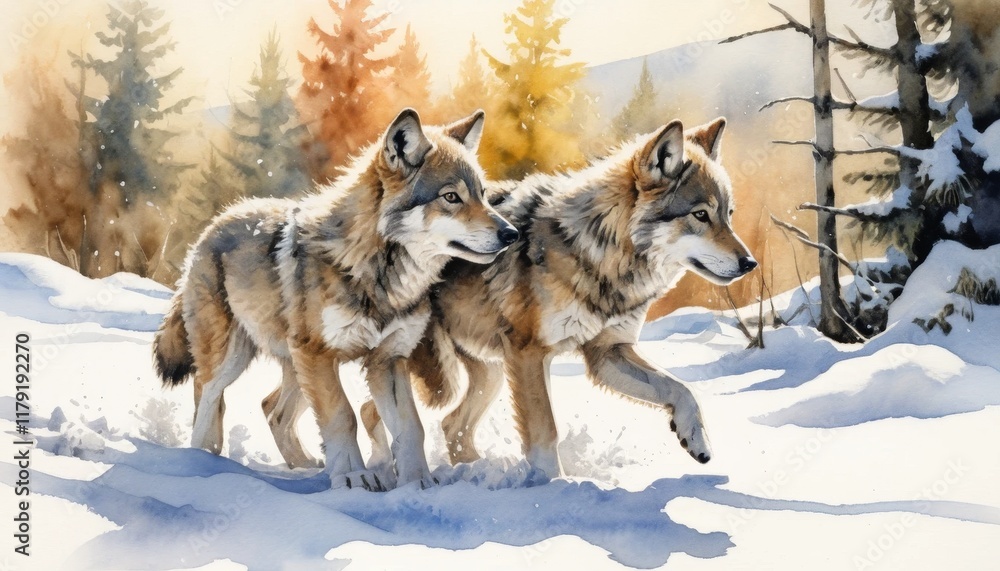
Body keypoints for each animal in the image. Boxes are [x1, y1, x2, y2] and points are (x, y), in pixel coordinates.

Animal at [152, 109, 518, 490]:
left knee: (272, 409)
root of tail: (217, 222)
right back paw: (202, 462)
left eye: (483, 195)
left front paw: (419, 483)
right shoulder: (319, 354)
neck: (378, 275)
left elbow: (410, 426)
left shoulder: (388, 360)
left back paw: (306, 468)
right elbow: (344, 416)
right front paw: (355, 478)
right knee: (208, 398)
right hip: (235, 357)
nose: (511, 234)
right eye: (451, 197)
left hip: (296, 368)